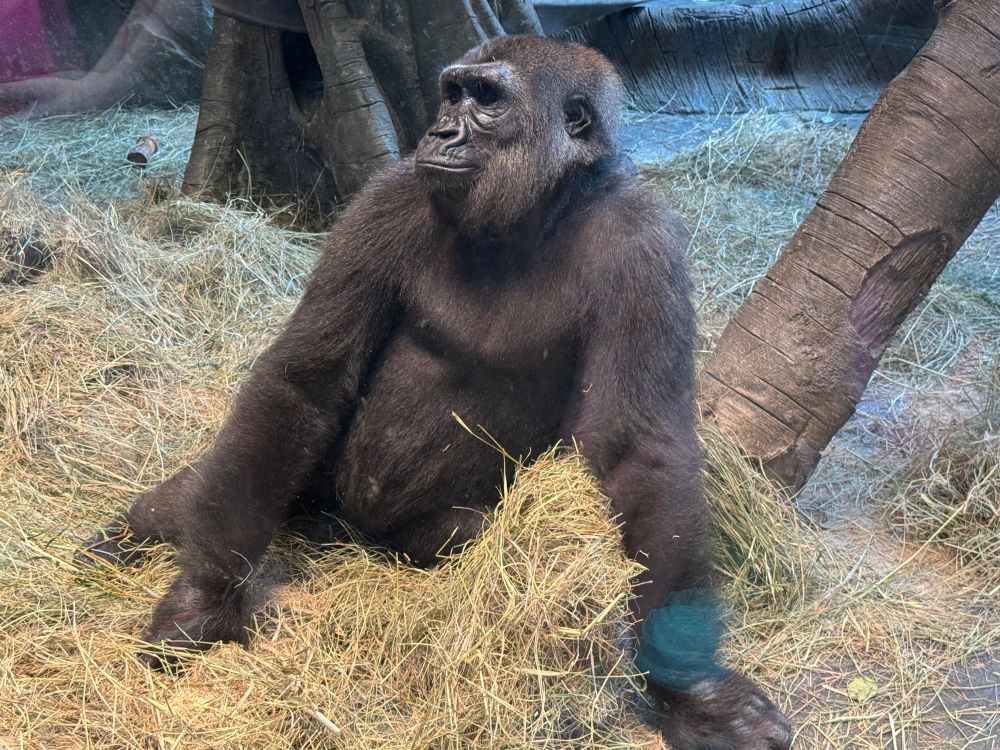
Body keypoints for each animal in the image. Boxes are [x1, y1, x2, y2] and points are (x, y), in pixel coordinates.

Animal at [81, 35, 791, 750]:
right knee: (245, 464)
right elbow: (305, 379)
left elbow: (636, 455)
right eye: (453, 94)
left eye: (487, 100)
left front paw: (690, 689)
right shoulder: (387, 198)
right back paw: (141, 527)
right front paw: (202, 598)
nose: (440, 131)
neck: (537, 209)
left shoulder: (644, 240)